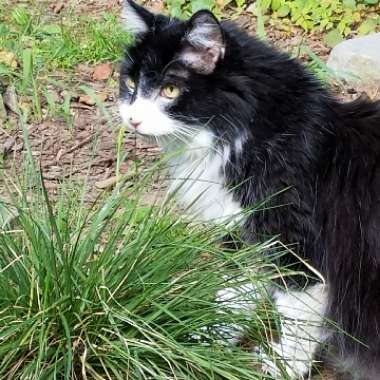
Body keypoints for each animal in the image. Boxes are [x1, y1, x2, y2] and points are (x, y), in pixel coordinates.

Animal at [120, 1, 380, 378]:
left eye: (170, 90)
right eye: (130, 83)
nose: (132, 119)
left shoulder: (295, 246)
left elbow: (297, 320)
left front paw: (283, 366)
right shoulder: (242, 235)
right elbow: (234, 294)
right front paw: (206, 344)